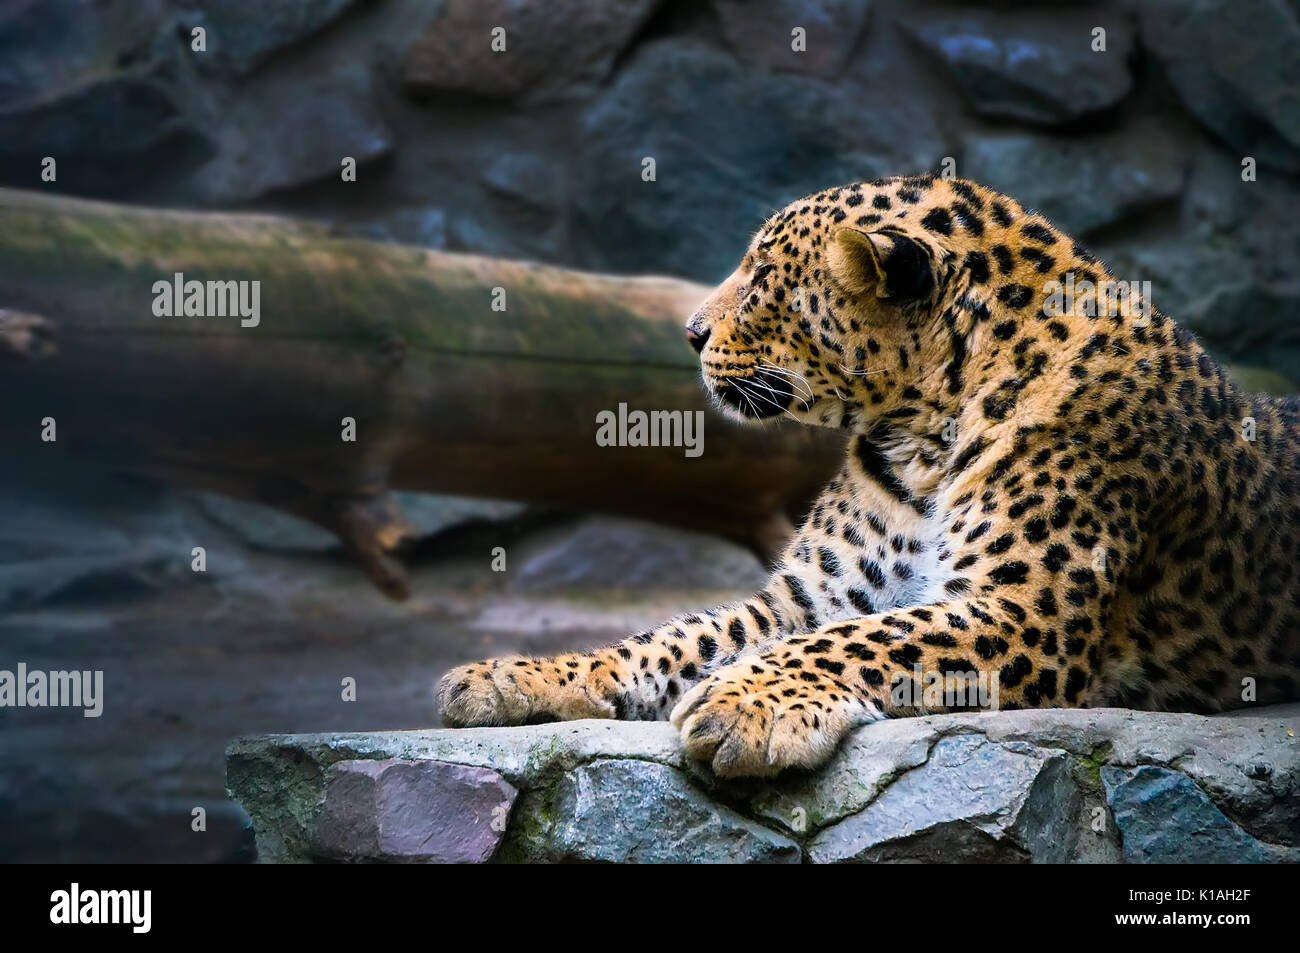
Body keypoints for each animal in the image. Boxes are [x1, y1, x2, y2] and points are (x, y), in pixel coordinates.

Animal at [434, 174, 1300, 774]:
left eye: (763, 277)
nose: (689, 331)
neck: (920, 433)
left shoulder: (1023, 612)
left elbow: (869, 640)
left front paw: (743, 704)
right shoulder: (804, 598)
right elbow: (673, 637)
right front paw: (511, 675)